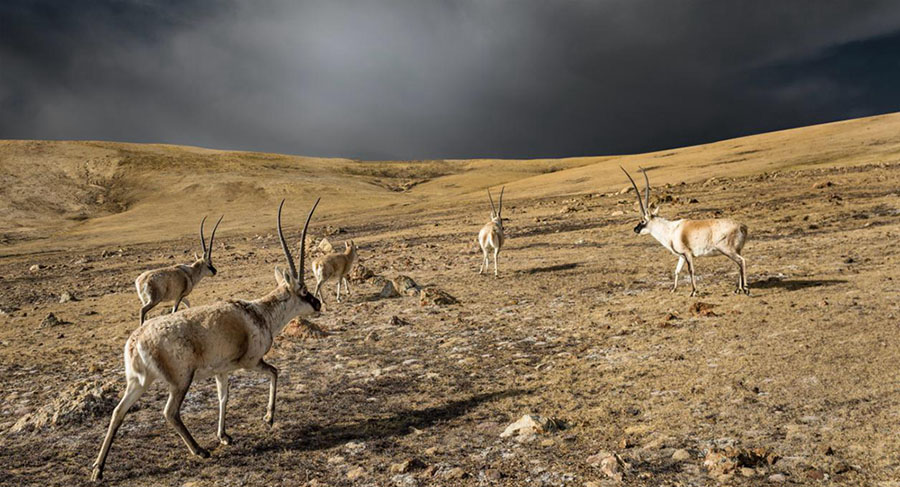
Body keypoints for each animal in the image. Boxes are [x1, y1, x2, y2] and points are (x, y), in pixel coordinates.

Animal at [90, 199, 324, 484]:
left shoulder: (221, 371)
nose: (318, 304)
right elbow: (274, 373)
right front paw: (268, 418)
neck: (259, 313)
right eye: (304, 291)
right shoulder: (251, 362)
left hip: (139, 382)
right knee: (170, 412)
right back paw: (199, 450)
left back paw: (98, 469)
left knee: (118, 412)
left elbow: (223, 397)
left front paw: (224, 436)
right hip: (181, 380)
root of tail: (136, 342)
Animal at [624, 167, 748, 298]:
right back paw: (738, 289)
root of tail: (742, 227)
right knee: (738, 264)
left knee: (741, 261)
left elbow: (690, 270)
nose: (635, 229)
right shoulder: (682, 256)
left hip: (727, 250)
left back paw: (744, 289)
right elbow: (677, 270)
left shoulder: (688, 253)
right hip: (735, 250)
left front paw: (693, 291)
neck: (671, 230)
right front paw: (673, 289)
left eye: (642, 220)